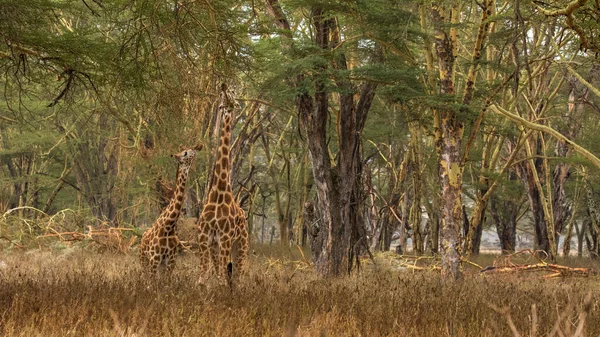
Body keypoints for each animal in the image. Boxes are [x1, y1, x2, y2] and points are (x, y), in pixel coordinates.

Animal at [139, 143, 203, 272]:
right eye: (185, 152)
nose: (198, 146)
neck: (168, 226)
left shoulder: (171, 261)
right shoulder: (155, 259)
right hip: (144, 261)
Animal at [197, 84, 248, 284]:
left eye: (233, 93)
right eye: (222, 94)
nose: (224, 87)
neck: (218, 191)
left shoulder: (225, 239)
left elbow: (223, 279)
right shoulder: (205, 239)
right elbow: (202, 278)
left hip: (241, 245)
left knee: (238, 276)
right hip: (219, 247)